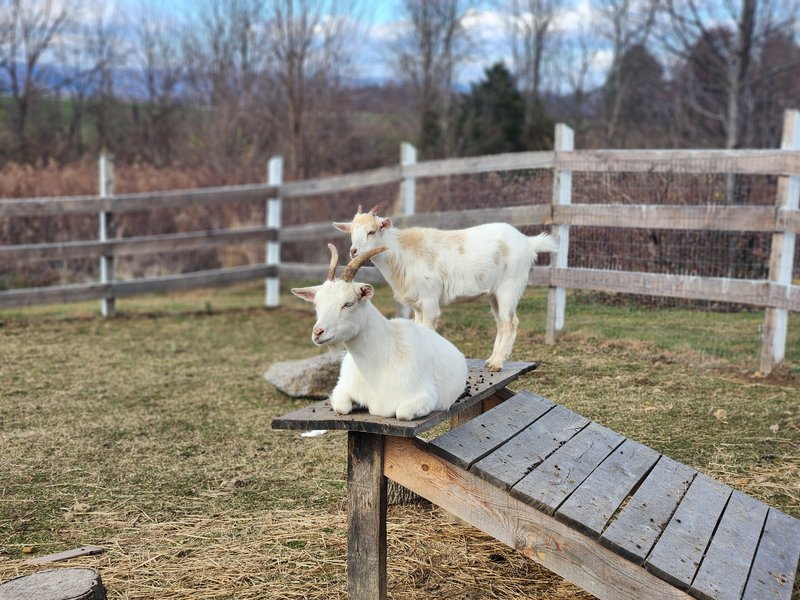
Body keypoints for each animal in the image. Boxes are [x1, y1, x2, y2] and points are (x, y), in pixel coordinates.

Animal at [291, 243, 468, 421]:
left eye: (348, 303)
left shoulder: (425, 396)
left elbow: (402, 414)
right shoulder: (342, 387)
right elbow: (341, 407)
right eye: (316, 304)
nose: (318, 332)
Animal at [333, 206, 557, 371]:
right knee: (502, 323)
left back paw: (497, 364)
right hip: (495, 293)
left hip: (509, 287)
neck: (402, 254)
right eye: (351, 232)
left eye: (372, 231)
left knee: (510, 323)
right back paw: (491, 360)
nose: (353, 251)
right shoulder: (417, 304)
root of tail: (528, 242)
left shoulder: (429, 298)